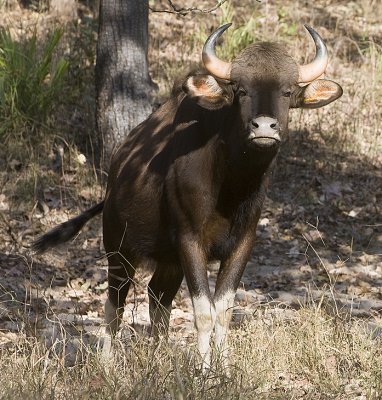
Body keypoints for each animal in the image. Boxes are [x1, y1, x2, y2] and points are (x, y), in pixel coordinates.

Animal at [33, 23, 344, 368]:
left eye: (288, 91)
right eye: (240, 90)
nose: (264, 127)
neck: (232, 187)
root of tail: (115, 174)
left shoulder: (243, 243)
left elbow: (223, 311)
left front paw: (223, 367)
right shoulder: (190, 240)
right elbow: (203, 311)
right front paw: (204, 369)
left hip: (168, 260)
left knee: (158, 298)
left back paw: (157, 358)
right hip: (119, 247)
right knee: (116, 303)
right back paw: (107, 362)